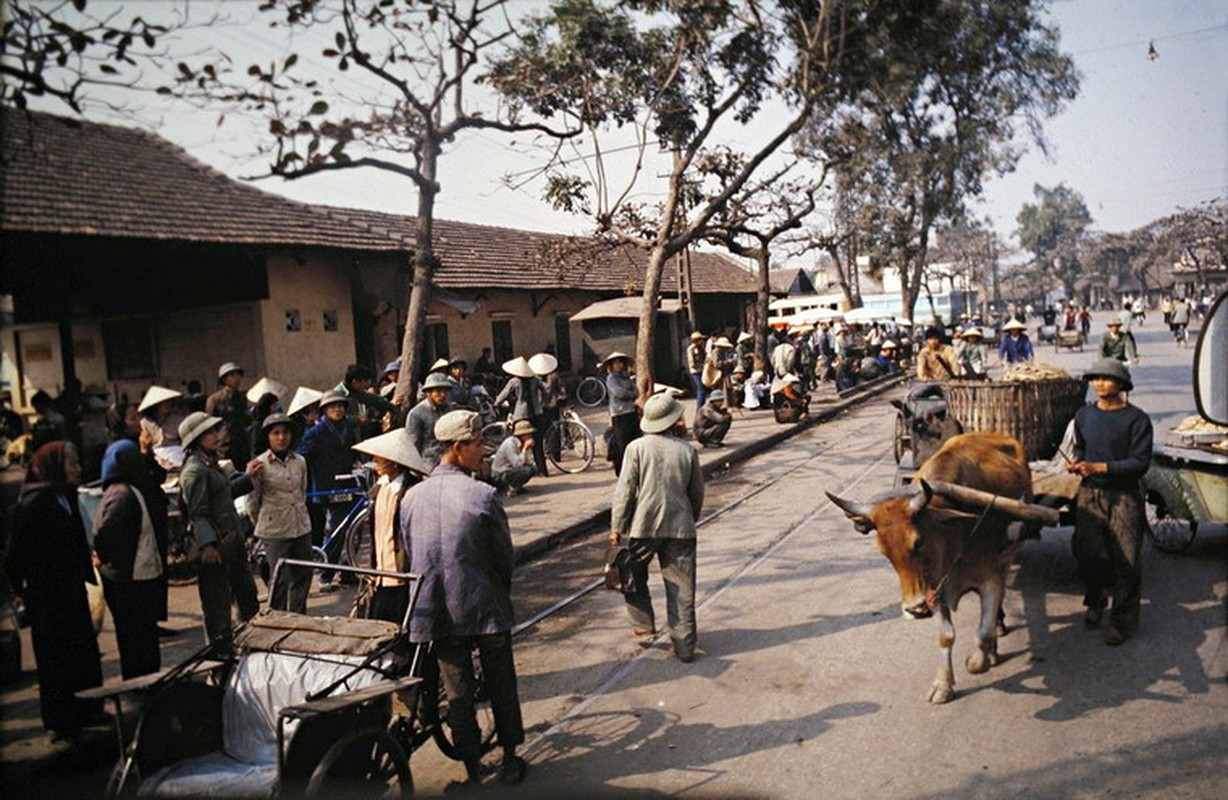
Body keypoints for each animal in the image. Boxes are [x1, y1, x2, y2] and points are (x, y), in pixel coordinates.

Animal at [830, 435, 1060, 702]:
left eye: (919, 541)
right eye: (883, 552)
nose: (915, 609)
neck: (955, 535)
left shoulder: (990, 578)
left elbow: (983, 632)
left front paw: (977, 660)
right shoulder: (936, 587)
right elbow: (946, 636)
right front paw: (943, 684)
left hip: (1007, 558)